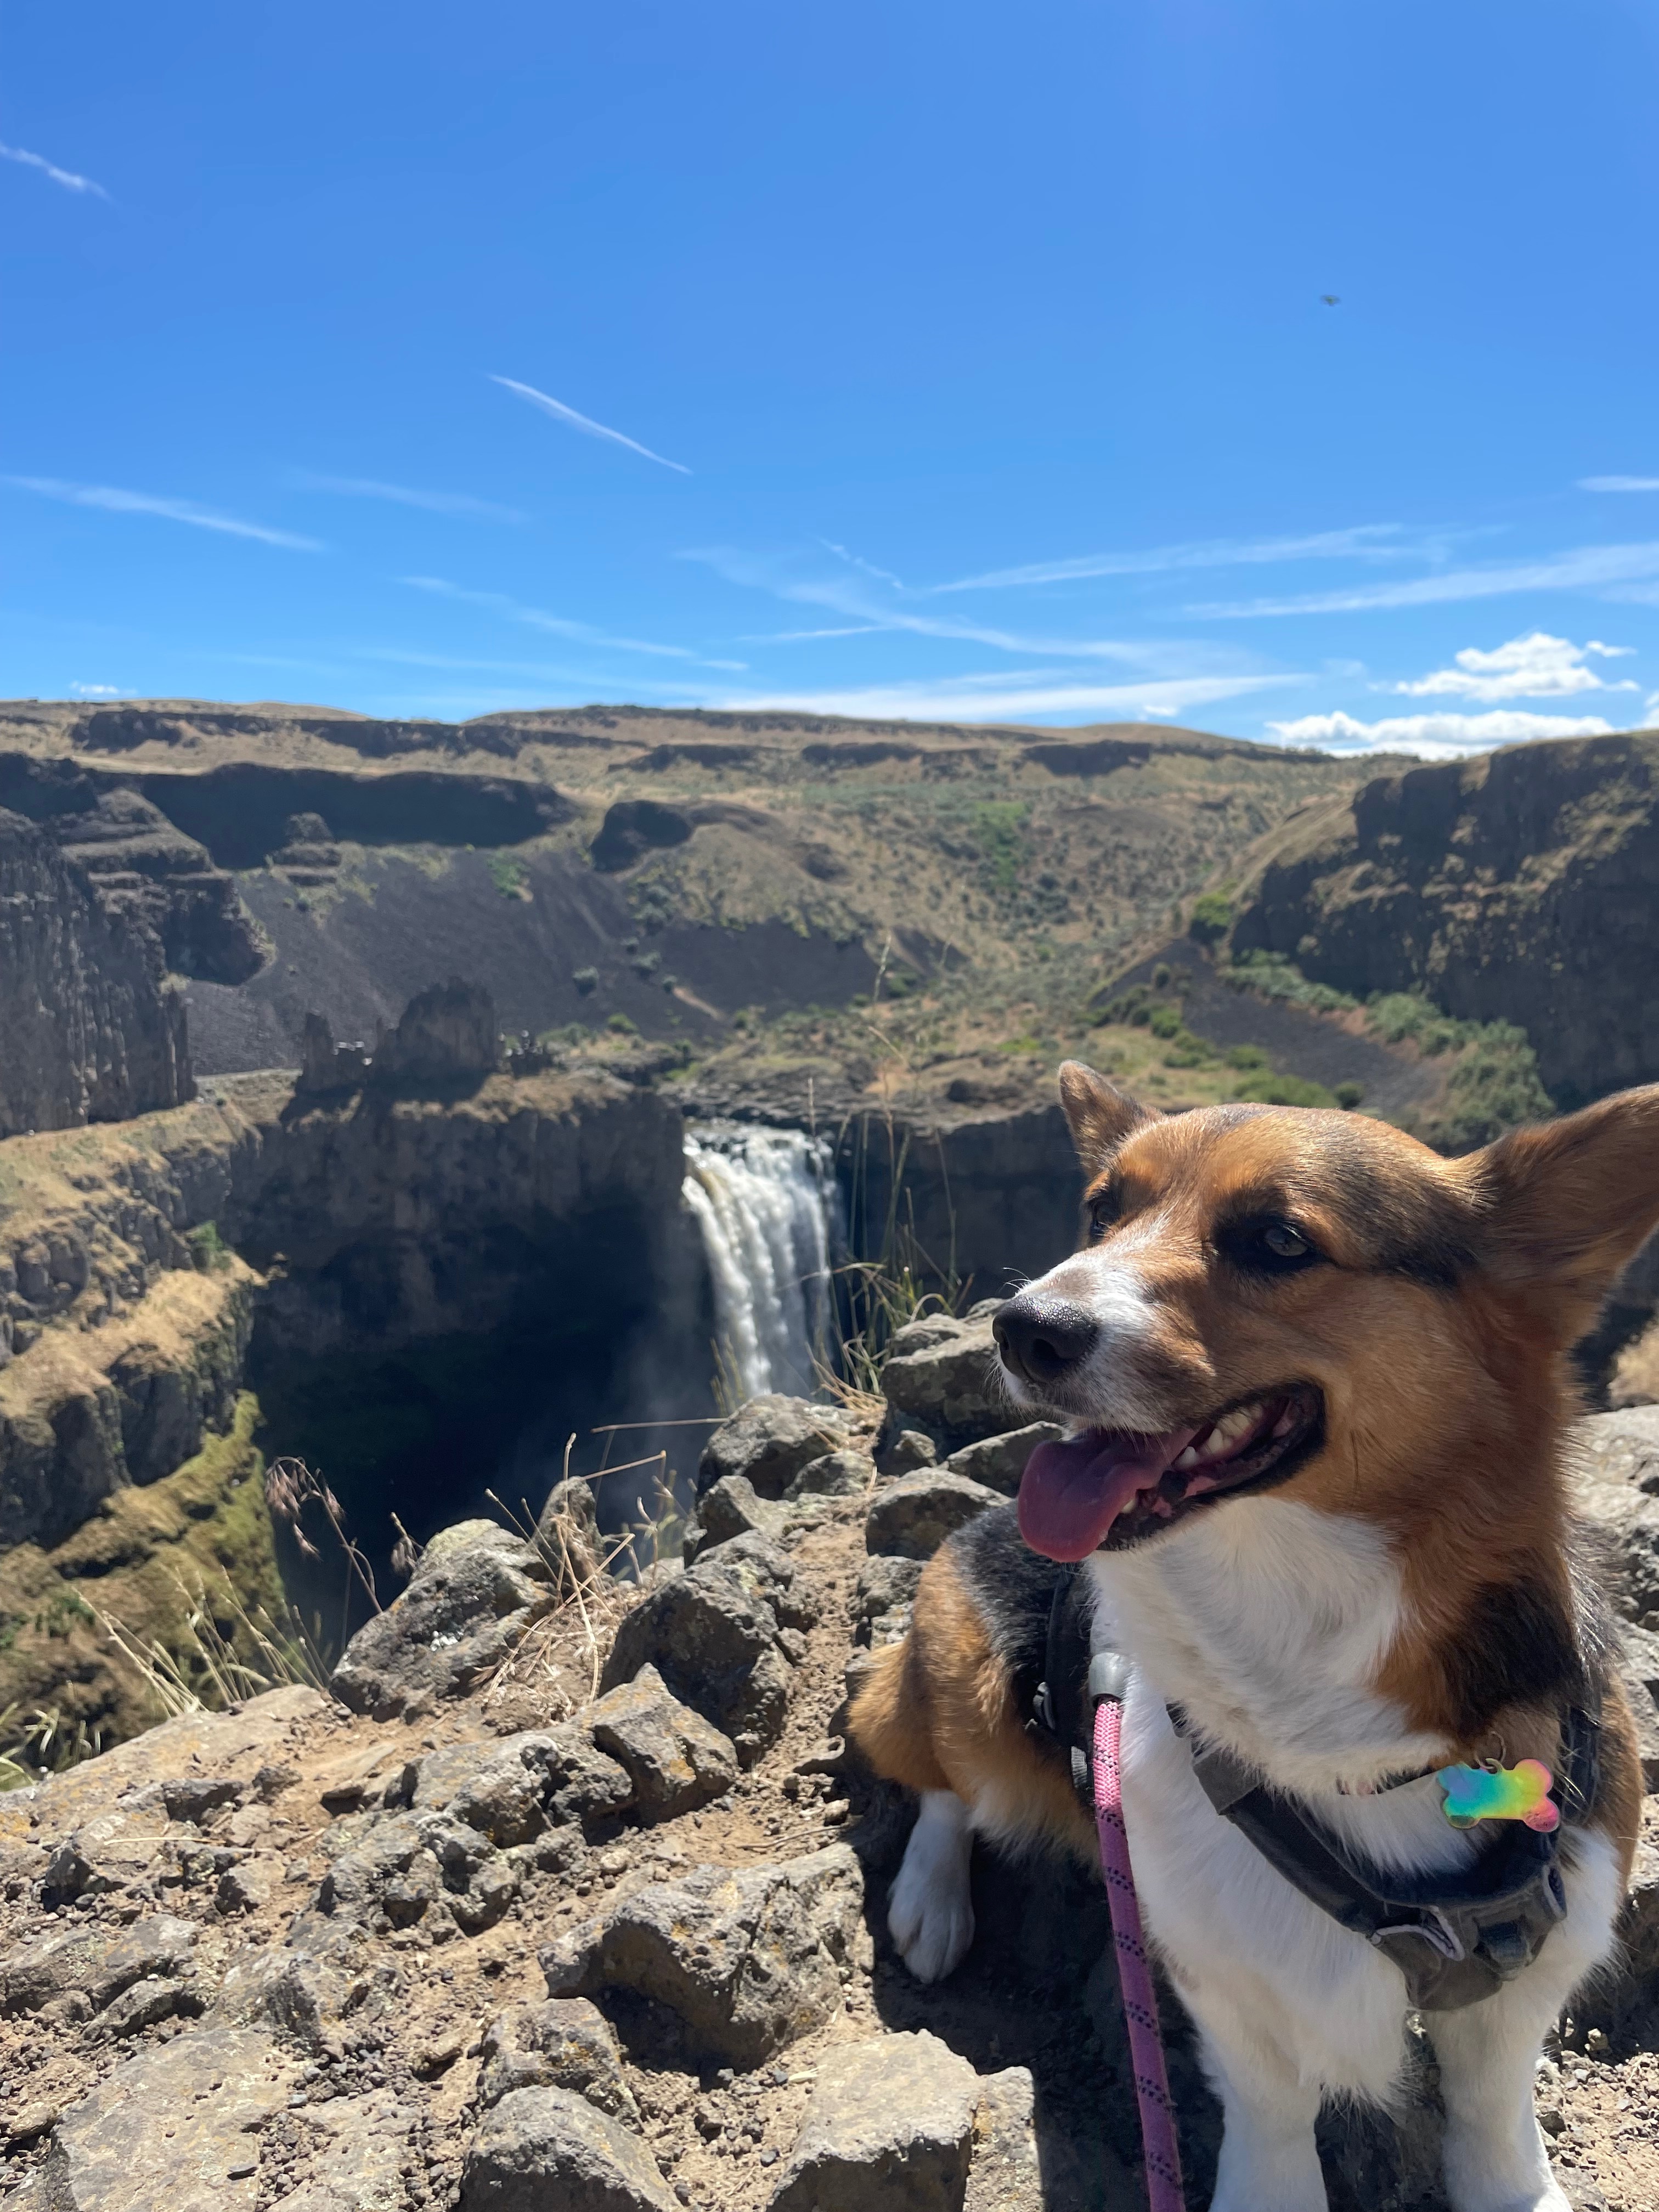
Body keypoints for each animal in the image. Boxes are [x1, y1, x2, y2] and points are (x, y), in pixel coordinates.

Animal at [849, 1063, 1649, 2212]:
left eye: (1276, 1240)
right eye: (1101, 1209)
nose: (1021, 1326)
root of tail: (982, 1521)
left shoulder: (1541, 1949)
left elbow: (1493, 2106)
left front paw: (1513, 2190)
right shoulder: (1217, 1968)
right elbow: (1271, 2112)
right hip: (969, 1687)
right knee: (945, 1786)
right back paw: (929, 1901)